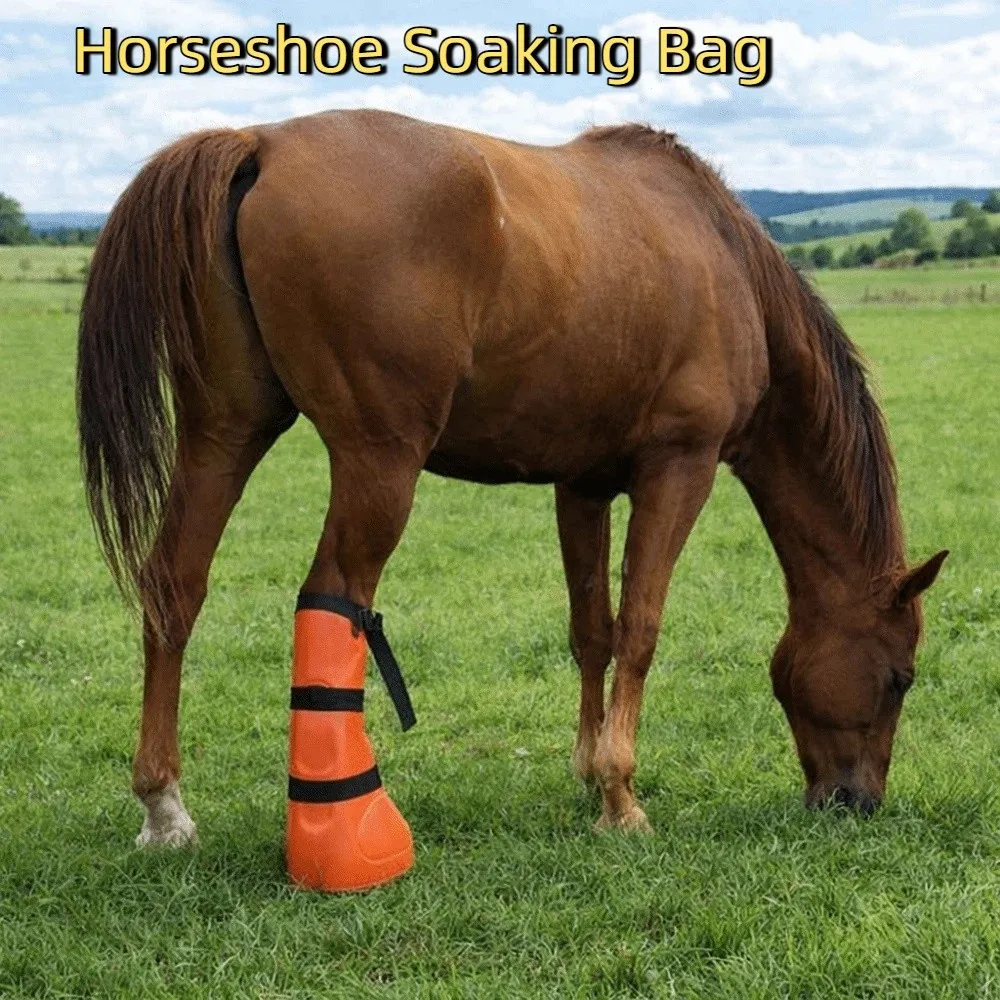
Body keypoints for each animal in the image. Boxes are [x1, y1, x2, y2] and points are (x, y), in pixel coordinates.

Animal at [77, 109, 946, 846]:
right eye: (900, 678)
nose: (855, 803)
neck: (724, 259)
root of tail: (261, 142)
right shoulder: (680, 467)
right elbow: (641, 628)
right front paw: (622, 799)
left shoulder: (583, 484)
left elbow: (592, 630)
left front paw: (590, 776)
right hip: (377, 465)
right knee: (333, 603)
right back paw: (344, 828)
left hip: (226, 433)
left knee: (175, 586)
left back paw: (164, 809)